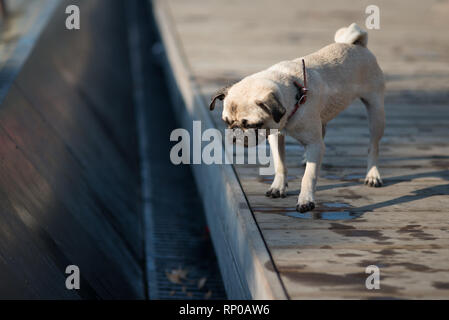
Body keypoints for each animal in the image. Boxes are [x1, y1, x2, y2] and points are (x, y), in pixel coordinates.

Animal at [208, 23, 384, 212]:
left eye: (252, 125)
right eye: (226, 122)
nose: (234, 133)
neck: (293, 93)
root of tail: (357, 45)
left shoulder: (311, 142)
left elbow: (309, 176)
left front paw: (306, 199)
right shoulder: (275, 134)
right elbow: (280, 163)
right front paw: (278, 186)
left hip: (376, 112)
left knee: (373, 145)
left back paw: (372, 174)